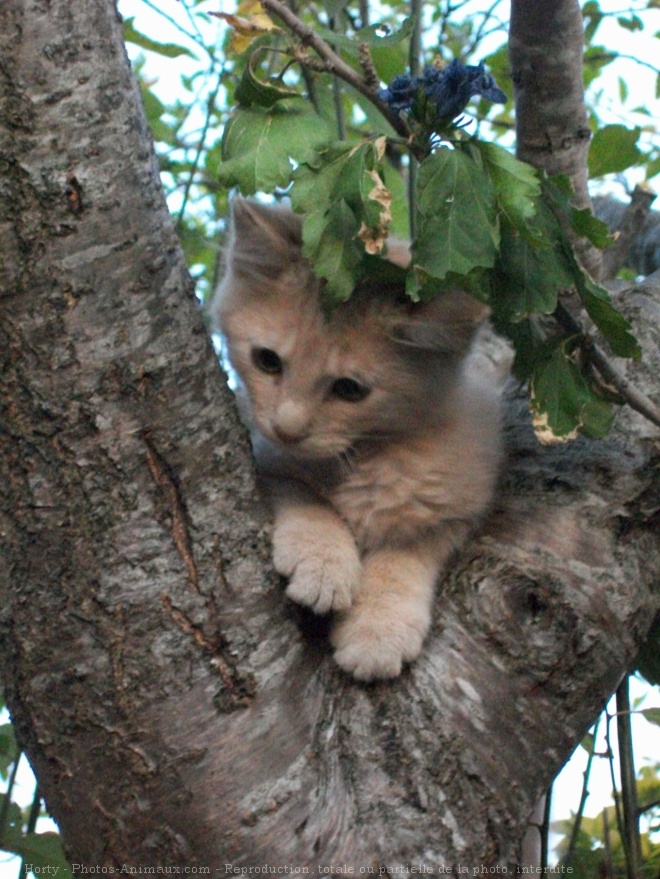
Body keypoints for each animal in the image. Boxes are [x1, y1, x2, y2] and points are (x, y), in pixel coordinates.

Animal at [214, 198, 502, 680]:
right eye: (267, 361)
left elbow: (403, 556)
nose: (287, 428)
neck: (367, 455)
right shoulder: (267, 460)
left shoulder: (456, 504)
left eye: (349, 389)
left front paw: (379, 628)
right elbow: (304, 498)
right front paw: (323, 565)